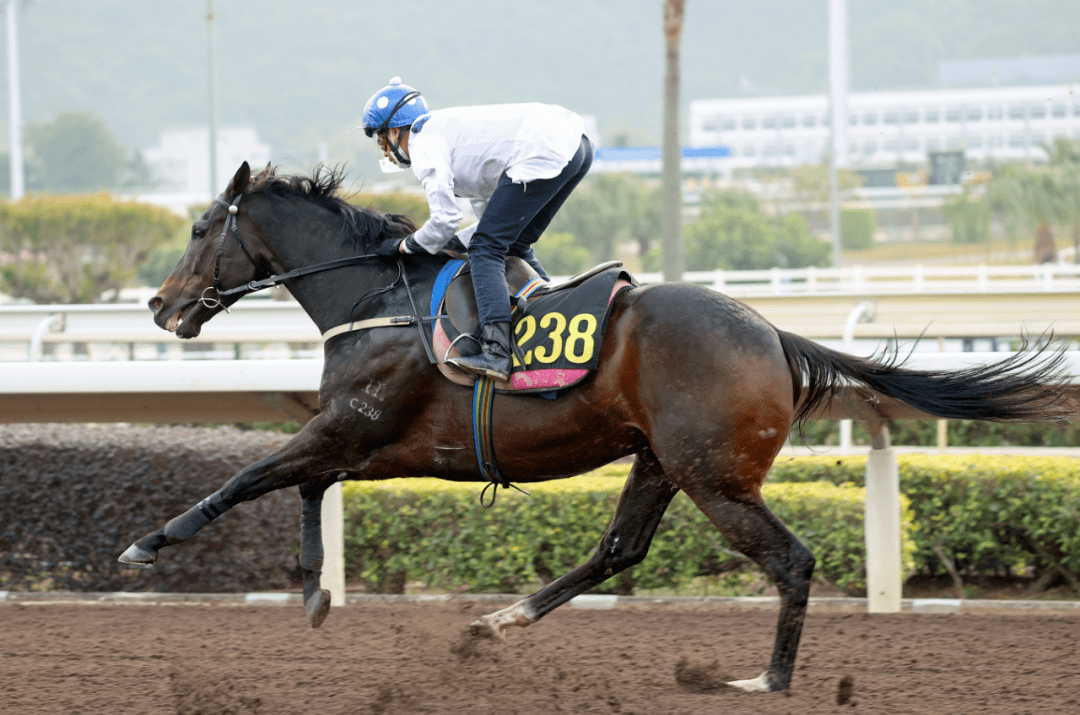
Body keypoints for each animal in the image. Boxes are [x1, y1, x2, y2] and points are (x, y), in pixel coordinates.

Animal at [120, 162, 1071, 695]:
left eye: (201, 227)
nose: (160, 306)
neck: (377, 296)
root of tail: (775, 335)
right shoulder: (380, 443)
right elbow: (304, 483)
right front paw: (316, 591)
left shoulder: (355, 428)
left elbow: (247, 477)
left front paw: (145, 545)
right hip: (661, 460)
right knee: (619, 550)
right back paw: (493, 623)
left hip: (715, 475)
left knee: (791, 560)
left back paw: (765, 678)